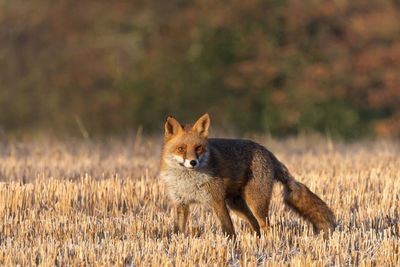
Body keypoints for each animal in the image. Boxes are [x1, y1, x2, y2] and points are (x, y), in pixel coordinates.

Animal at [159, 114, 334, 240]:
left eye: (198, 148)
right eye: (181, 149)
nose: (193, 162)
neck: (188, 182)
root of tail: (266, 150)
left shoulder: (217, 202)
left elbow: (229, 231)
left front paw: (232, 247)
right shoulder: (181, 204)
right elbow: (178, 231)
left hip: (255, 202)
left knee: (266, 226)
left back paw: (267, 245)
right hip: (237, 205)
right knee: (255, 224)